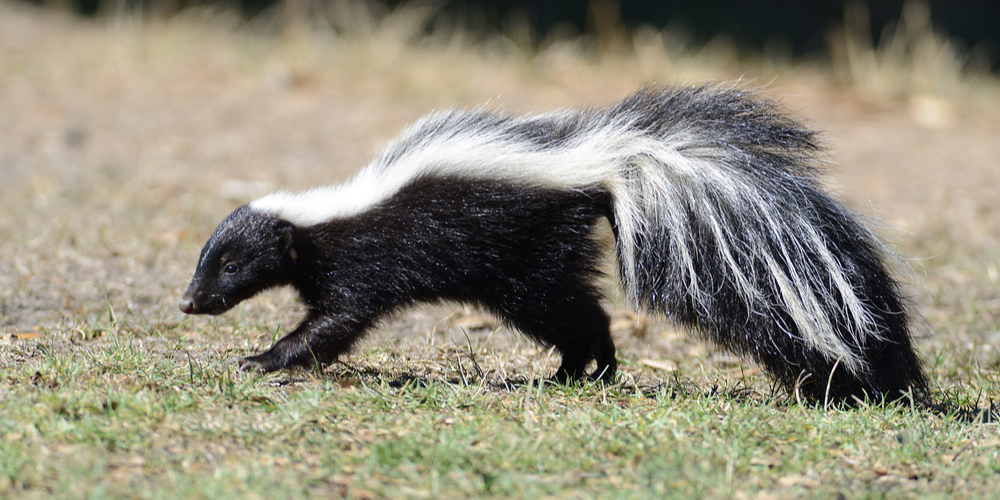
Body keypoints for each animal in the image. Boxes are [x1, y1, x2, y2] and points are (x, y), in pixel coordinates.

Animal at [178, 85, 928, 402]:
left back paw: (590, 369)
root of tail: (601, 162)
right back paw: (576, 371)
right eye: (206, 260)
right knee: (577, 310)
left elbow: (336, 321)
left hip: (522, 260)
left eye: (230, 264)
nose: (189, 302)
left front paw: (263, 358)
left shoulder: (365, 261)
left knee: (576, 313)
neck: (326, 215)